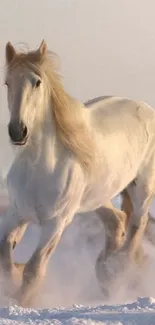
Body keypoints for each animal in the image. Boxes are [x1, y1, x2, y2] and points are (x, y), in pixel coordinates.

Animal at [1, 39, 155, 306]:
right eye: (7, 82)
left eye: (37, 82)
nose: (18, 131)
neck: (39, 168)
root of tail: (145, 107)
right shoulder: (17, 213)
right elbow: (5, 256)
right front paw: (13, 284)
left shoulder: (56, 223)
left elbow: (34, 269)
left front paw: (24, 302)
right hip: (98, 197)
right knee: (117, 221)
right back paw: (105, 271)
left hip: (142, 188)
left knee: (137, 224)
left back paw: (120, 269)